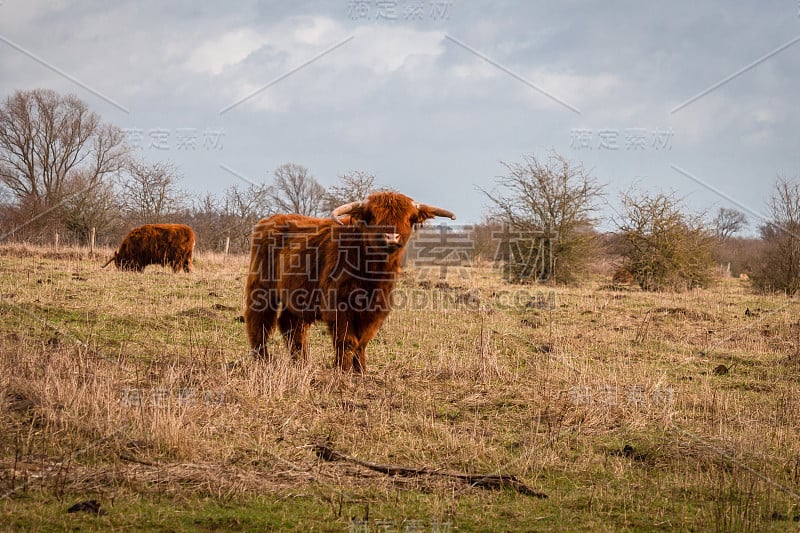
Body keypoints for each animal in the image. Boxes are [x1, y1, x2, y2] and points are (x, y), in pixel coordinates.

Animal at [244, 190, 456, 370]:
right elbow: (347, 340)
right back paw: (262, 360)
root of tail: (271, 219)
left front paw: (360, 370)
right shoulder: (339, 304)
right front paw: (342, 370)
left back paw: (301, 362)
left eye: (409, 218)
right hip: (261, 286)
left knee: (290, 324)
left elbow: (362, 341)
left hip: (296, 293)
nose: (391, 237)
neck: (372, 275)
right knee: (259, 320)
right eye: (372, 216)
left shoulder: (375, 309)